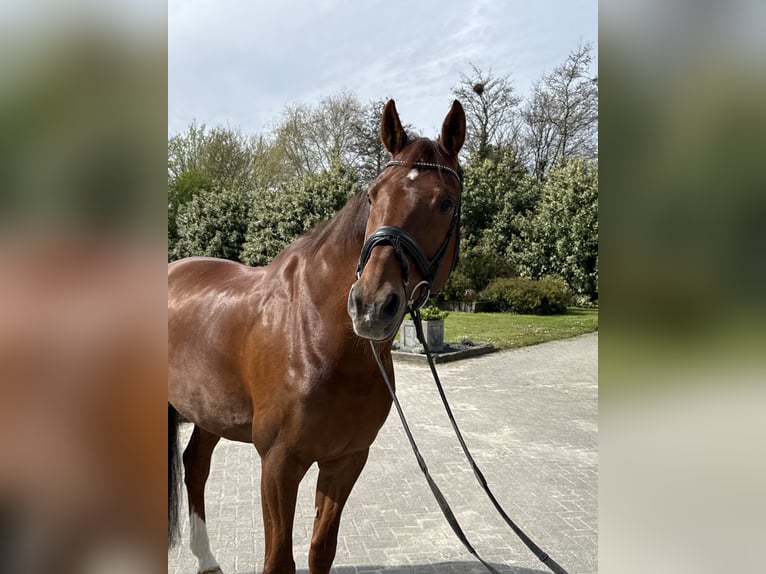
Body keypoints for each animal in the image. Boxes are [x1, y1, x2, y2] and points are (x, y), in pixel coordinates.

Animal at [168, 98, 466, 574]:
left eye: (445, 202)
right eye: (373, 196)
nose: (370, 304)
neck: (320, 339)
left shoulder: (346, 460)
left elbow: (320, 551)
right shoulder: (279, 464)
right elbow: (279, 561)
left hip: (209, 410)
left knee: (195, 465)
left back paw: (207, 560)